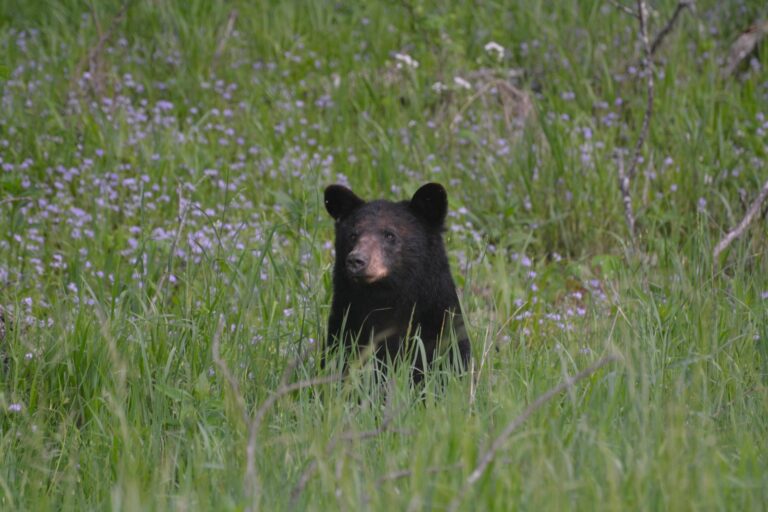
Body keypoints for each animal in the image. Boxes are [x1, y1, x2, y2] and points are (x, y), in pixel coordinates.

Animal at [323, 182, 470, 383]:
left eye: (390, 235)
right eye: (353, 235)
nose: (356, 260)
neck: (385, 298)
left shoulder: (440, 329)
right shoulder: (345, 326)